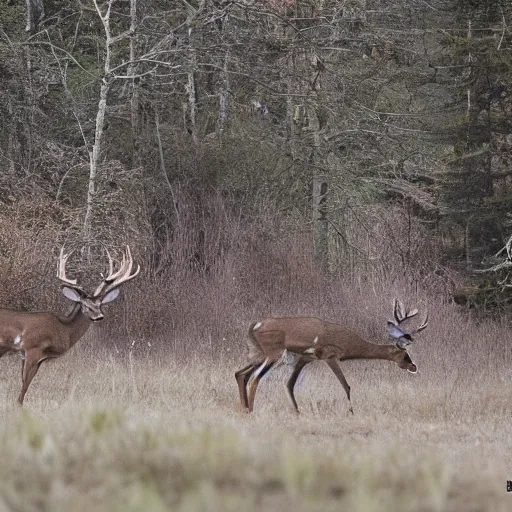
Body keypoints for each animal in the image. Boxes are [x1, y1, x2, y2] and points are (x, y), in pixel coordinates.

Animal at [0, 246, 139, 406]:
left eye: (100, 305)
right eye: (86, 306)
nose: (99, 316)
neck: (62, 329)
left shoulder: (34, 356)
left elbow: (26, 383)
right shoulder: (31, 348)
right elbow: (24, 385)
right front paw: (19, 406)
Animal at [236, 300, 428, 412]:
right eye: (405, 354)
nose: (414, 367)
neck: (350, 343)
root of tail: (255, 325)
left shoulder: (306, 358)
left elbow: (290, 384)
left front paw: (298, 412)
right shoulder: (330, 356)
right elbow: (346, 385)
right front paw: (351, 412)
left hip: (259, 354)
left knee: (241, 374)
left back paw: (244, 410)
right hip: (273, 354)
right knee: (254, 378)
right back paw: (251, 411)